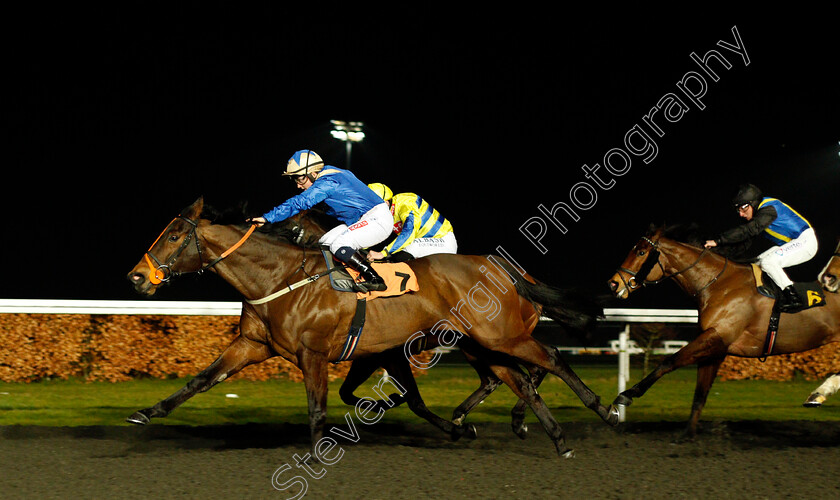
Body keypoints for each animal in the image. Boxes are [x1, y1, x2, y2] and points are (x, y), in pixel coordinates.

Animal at [128, 198, 620, 458]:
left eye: (174, 236)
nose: (136, 277)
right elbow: (201, 380)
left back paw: (603, 411)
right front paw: (148, 412)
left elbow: (318, 408)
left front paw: (315, 453)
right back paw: (549, 435)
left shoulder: (314, 354)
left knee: (547, 360)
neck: (280, 278)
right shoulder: (253, 344)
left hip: (499, 335)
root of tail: (503, 268)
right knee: (519, 380)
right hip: (483, 343)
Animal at [608, 225, 836, 436]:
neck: (719, 284)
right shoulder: (715, 347)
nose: (613, 283)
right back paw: (818, 395)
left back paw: (818, 394)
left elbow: (669, 361)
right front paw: (688, 433)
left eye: (641, 252)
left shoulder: (715, 337)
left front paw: (627, 394)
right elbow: (700, 393)